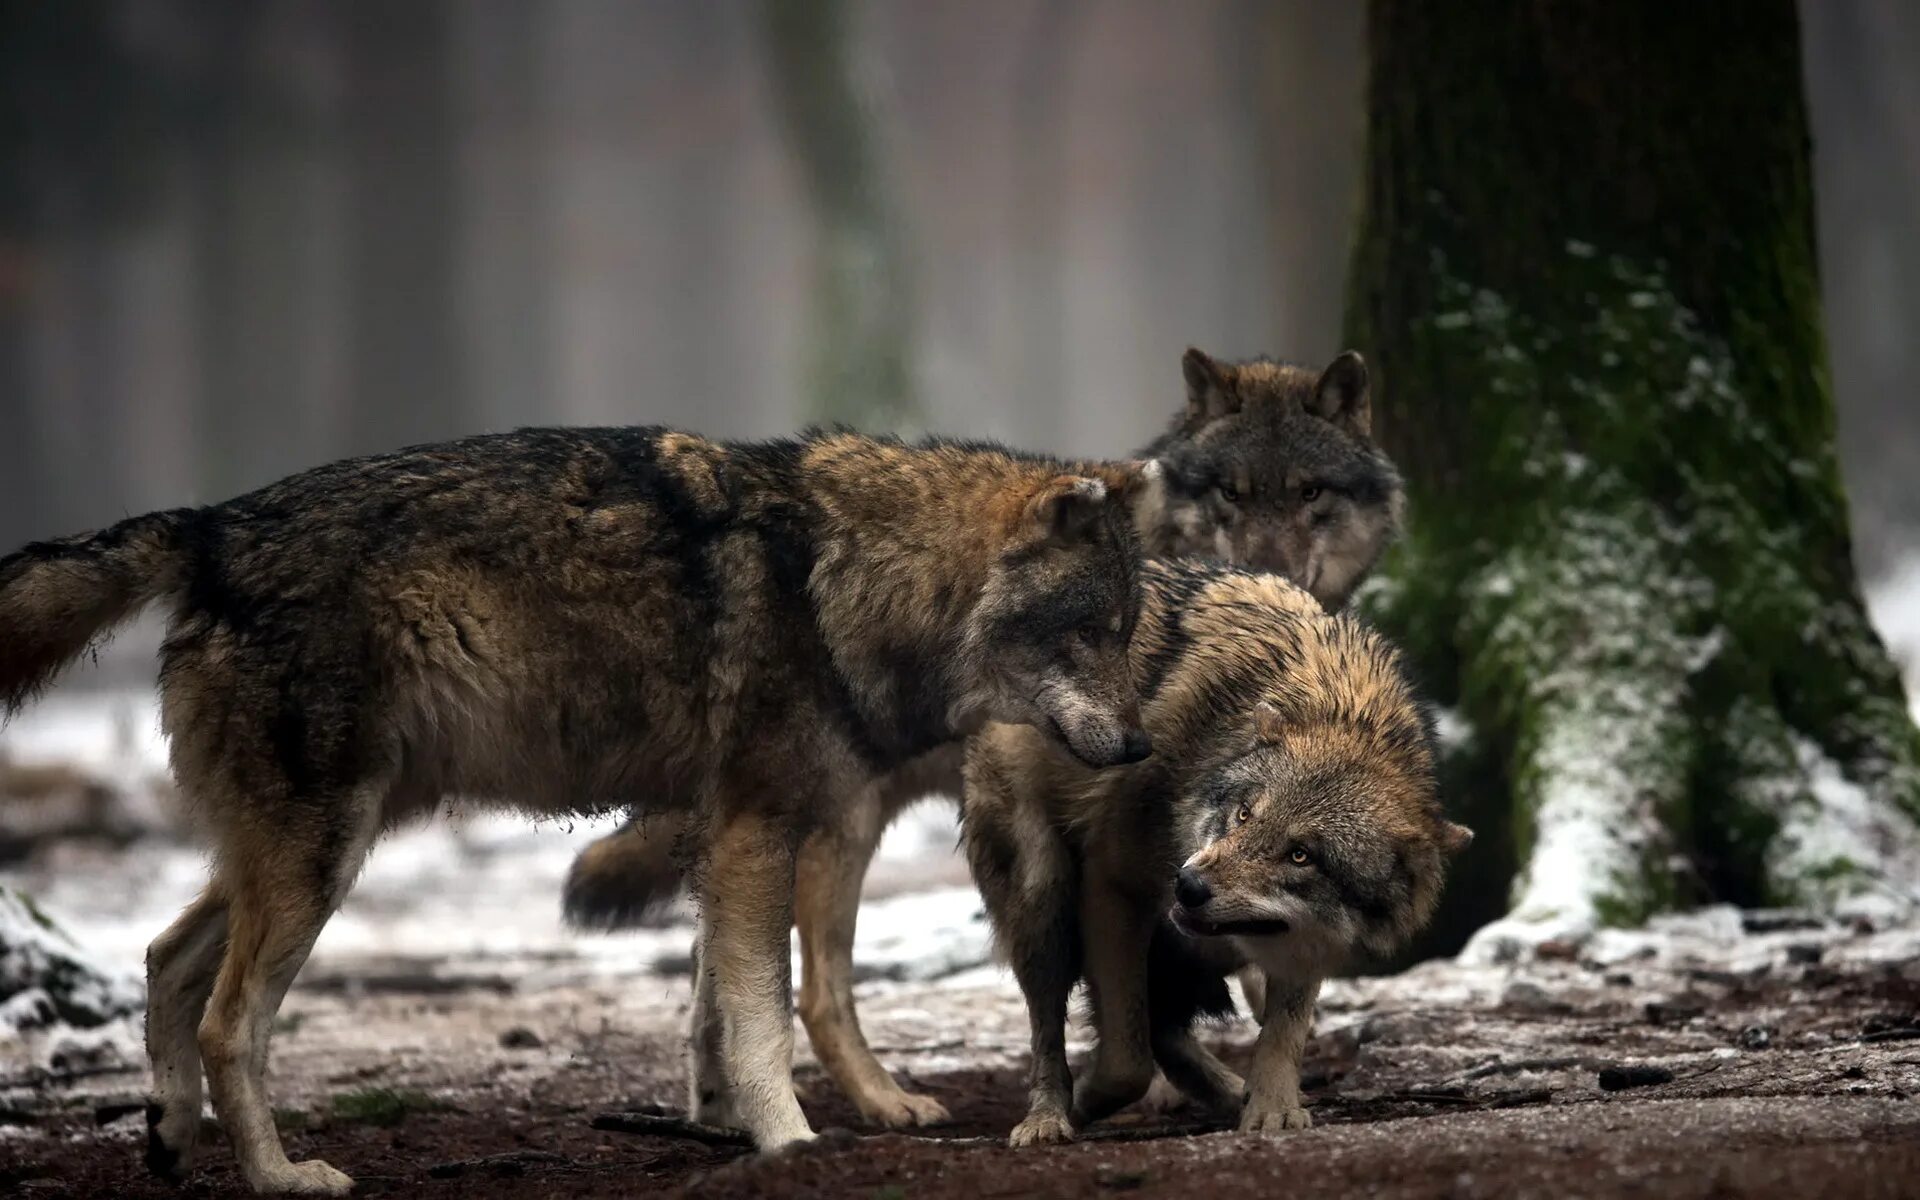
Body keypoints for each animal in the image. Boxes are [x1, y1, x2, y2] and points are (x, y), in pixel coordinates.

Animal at [0, 424, 1152, 1190]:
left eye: (1130, 632)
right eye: (1091, 631)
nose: (1143, 746)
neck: (844, 579)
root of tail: (212, 527)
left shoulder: (732, 838)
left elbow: (719, 1010)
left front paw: (731, 1133)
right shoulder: (754, 832)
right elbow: (766, 1014)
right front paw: (788, 1143)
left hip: (315, 846)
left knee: (164, 957)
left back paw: (169, 1137)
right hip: (320, 860)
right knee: (231, 1019)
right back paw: (281, 1177)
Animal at [560, 343, 1405, 1121]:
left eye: (1310, 492)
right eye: (1231, 491)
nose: (1275, 569)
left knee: (709, 975)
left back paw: (719, 1111)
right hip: (839, 834)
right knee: (812, 993)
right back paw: (883, 1104)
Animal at [960, 556, 1466, 1144]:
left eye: (1301, 855)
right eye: (1245, 815)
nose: (1189, 886)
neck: (1341, 708)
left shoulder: (1304, 946)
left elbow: (1281, 1035)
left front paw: (1271, 1107)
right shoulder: (1114, 888)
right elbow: (1125, 1063)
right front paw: (1084, 1101)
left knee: (1166, 1029)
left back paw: (1229, 1095)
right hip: (1045, 902)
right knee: (1055, 1030)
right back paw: (1048, 1117)